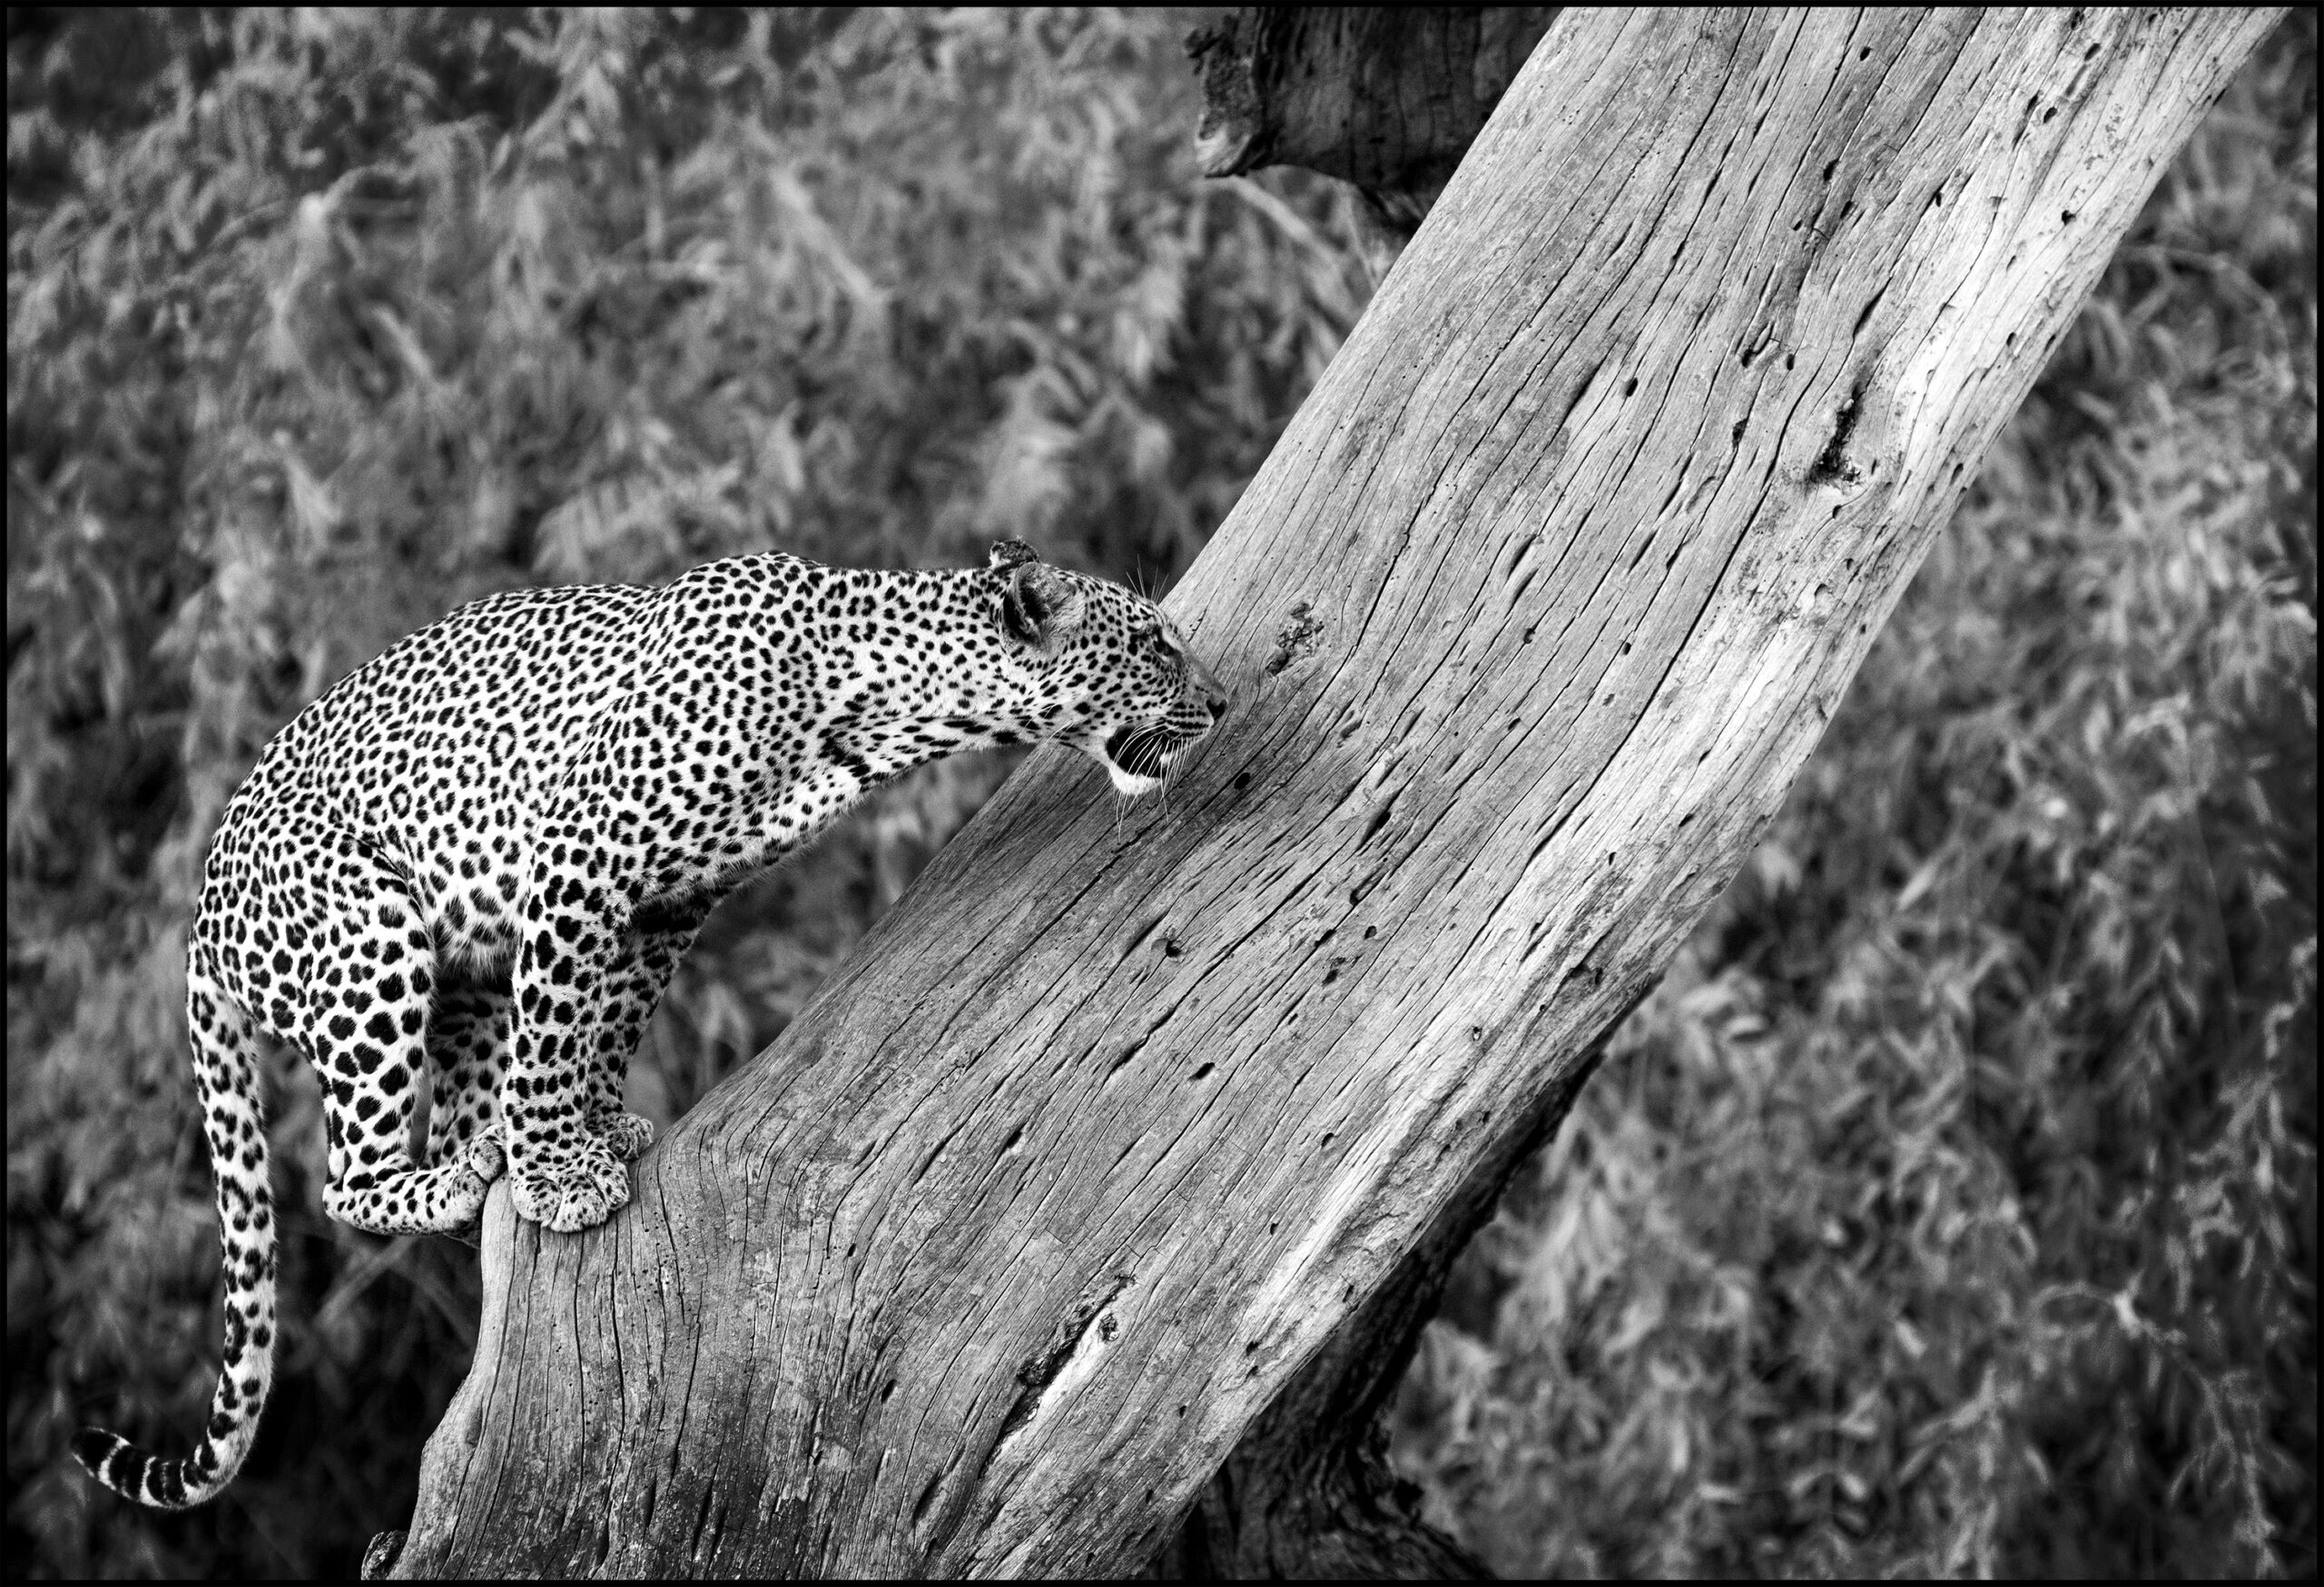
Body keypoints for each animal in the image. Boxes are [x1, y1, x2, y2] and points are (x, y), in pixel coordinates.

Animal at [71, 539, 1226, 1509]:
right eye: (1155, 642)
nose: (1219, 700)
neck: (877, 707)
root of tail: (196, 918)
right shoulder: (579, 857)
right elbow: (556, 1029)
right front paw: (561, 1175)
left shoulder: (672, 901)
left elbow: (602, 1020)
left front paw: (592, 1130)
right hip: (374, 939)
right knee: (346, 1177)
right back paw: (459, 1174)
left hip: (464, 976)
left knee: (456, 1105)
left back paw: (481, 1157)